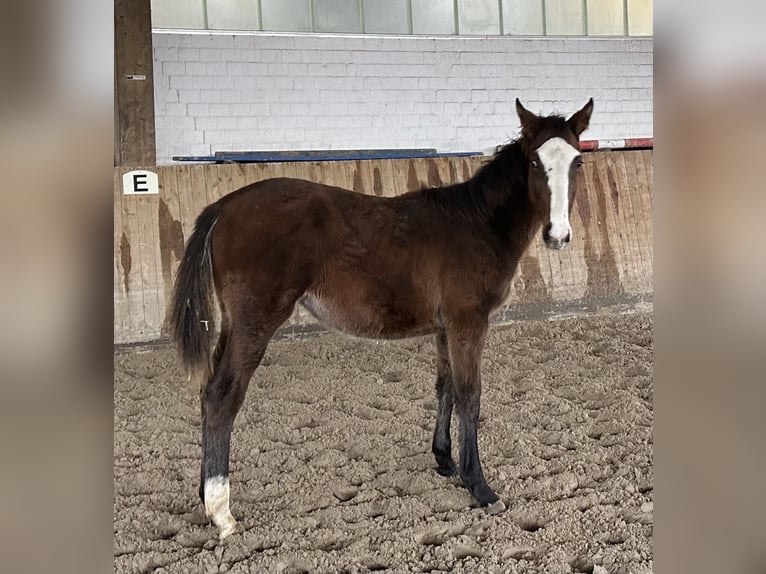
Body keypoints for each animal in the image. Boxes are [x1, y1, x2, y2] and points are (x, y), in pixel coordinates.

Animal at [169, 98, 593, 539]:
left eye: (577, 161)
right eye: (534, 162)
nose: (558, 236)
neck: (477, 223)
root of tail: (223, 207)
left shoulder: (444, 327)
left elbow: (444, 387)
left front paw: (445, 460)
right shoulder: (468, 321)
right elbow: (469, 395)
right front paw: (479, 486)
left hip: (233, 324)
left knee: (207, 392)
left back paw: (205, 497)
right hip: (256, 320)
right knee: (222, 395)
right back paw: (222, 511)